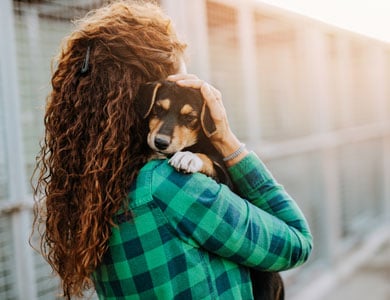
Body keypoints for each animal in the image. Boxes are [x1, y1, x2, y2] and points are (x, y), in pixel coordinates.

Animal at [136, 80, 284, 300]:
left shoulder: (226, 181)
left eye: (189, 118)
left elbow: (207, 159)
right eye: (158, 109)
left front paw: (189, 157)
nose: (160, 142)